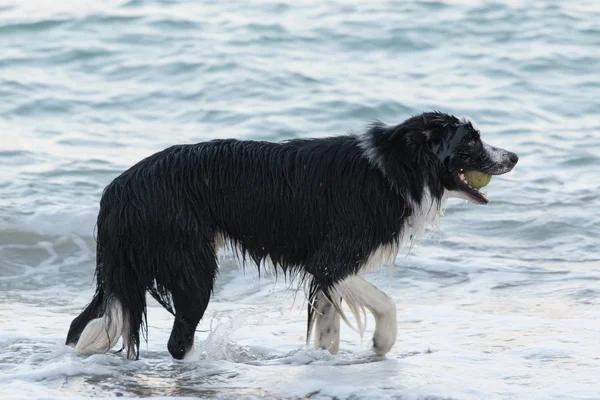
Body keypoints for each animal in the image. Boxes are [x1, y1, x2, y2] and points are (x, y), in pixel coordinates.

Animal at [64, 111, 516, 360]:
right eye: (471, 140)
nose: (513, 156)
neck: (394, 169)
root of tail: (118, 189)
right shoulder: (331, 261)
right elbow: (385, 303)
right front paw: (381, 344)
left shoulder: (328, 272)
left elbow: (329, 327)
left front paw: (325, 360)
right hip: (190, 265)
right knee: (177, 341)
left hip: (130, 271)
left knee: (80, 326)